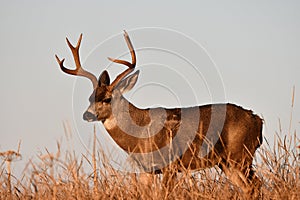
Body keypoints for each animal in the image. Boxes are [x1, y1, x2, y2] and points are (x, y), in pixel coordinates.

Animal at [55, 31, 262, 197]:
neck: (139, 133)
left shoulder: (170, 164)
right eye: (90, 97)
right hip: (227, 162)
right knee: (248, 187)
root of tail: (257, 119)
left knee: (255, 185)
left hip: (240, 154)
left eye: (107, 99)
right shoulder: (147, 170)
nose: (87, 115)